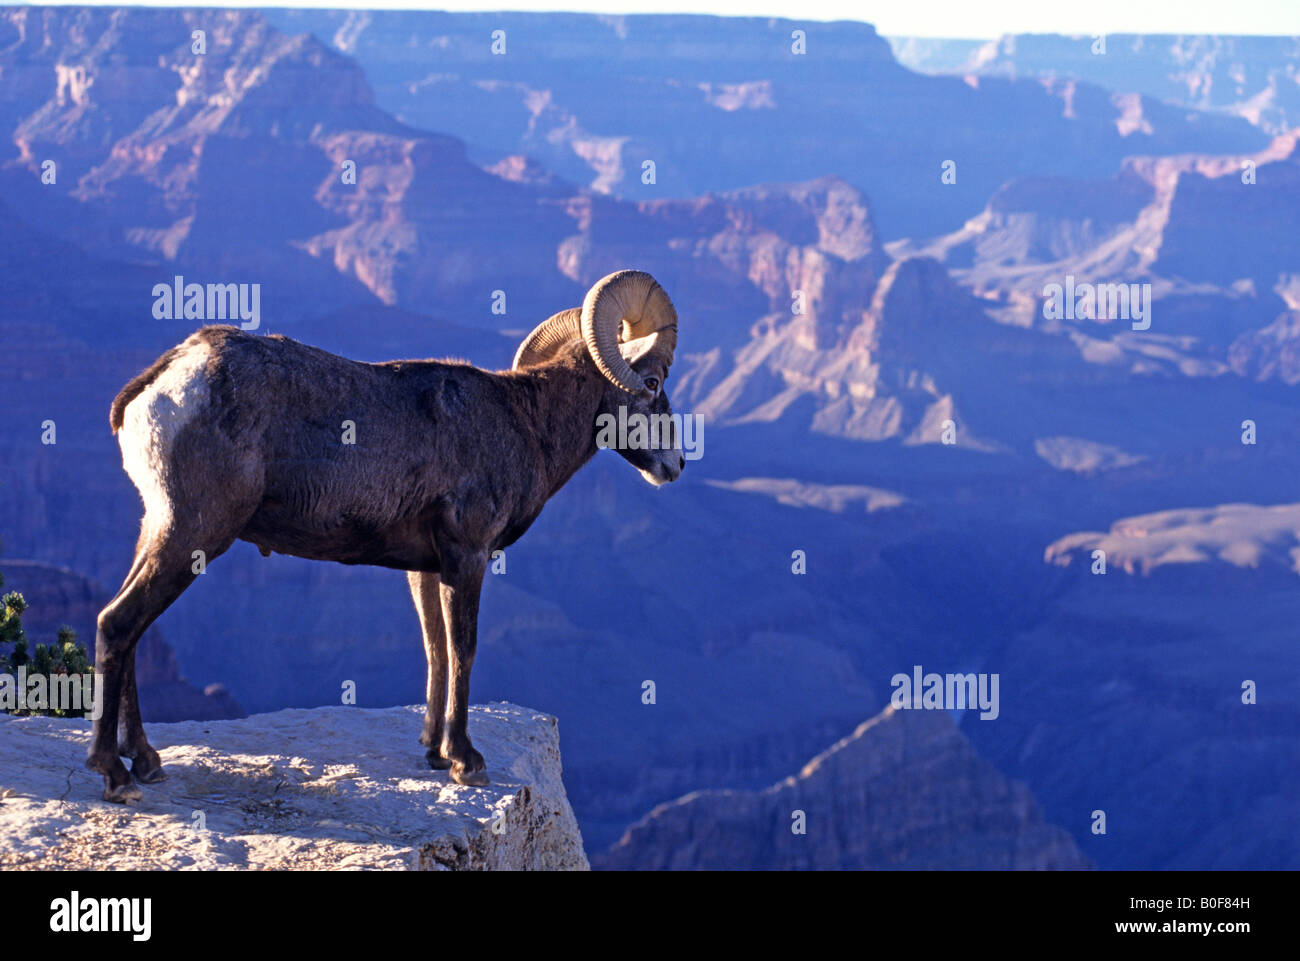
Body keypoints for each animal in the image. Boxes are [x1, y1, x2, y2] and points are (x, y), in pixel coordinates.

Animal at [89, 270, 683, 801]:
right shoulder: (467, 557)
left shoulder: (426, 569)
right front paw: (466, 762)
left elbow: (435, 650)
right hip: (195, 533)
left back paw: (146, 762)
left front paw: (434, 754)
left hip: (159, 528)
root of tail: (161, 384)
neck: (526, 426)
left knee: (129, 627)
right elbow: (464, 649)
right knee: (119, 623)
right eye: (652, 383)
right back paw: (115, 775)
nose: (675, 465)